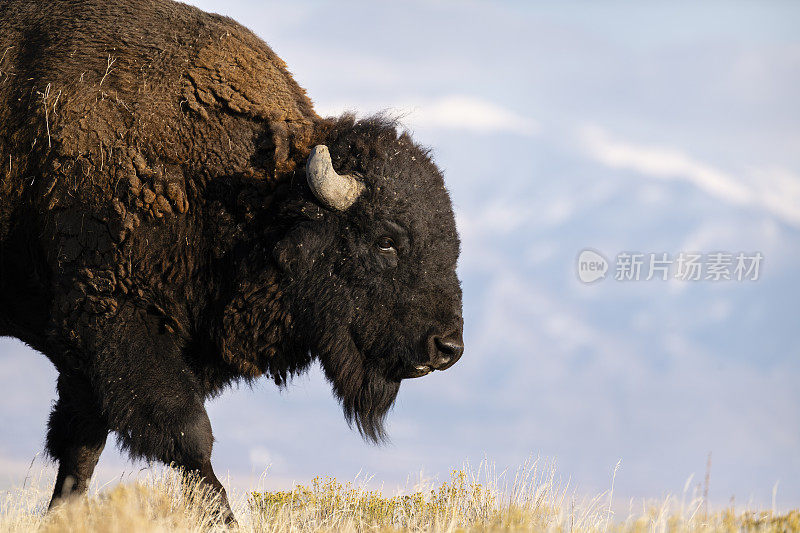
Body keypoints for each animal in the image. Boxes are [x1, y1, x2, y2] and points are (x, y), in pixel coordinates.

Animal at [0, 0, 462, 520]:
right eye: (386, 241)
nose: (448, 347)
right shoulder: (114, 323)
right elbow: (184, 433)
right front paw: (224, 516)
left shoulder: (100, 361)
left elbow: (82, 445)